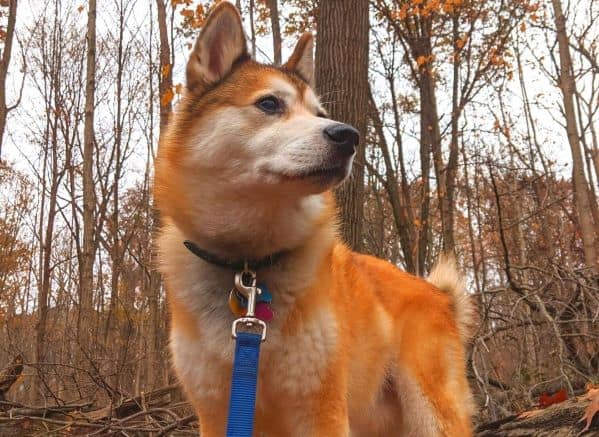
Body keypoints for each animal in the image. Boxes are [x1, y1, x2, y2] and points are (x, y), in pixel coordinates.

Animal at [154, 1, 474, 434]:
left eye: (320, 112)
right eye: (269, 104)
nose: (349, 136)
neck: (249, 267)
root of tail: (438, 294)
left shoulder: (321, 408)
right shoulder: (217, 411)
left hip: (430, 413)